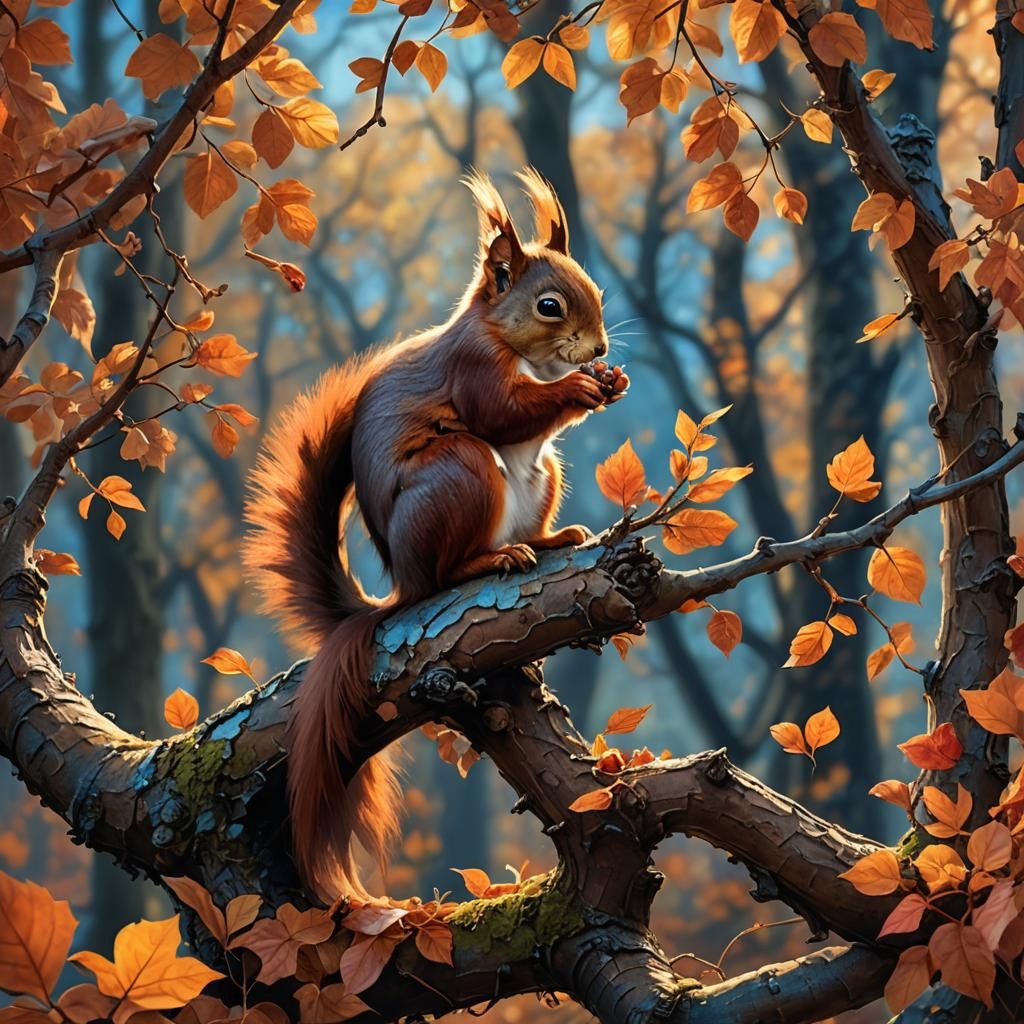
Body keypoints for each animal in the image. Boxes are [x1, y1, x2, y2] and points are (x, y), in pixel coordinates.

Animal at [243, 169, 628, 900]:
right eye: (549, 306)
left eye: (593, 291)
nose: (598, 351)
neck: (515, 348)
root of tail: (400, 586)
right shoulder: (474, 370)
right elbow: (503, 413)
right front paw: (581, 387)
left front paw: (608, 382)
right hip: (460, 471)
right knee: (447, 570)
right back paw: (491, 559)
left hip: (544, 477)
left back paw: (552, 540)